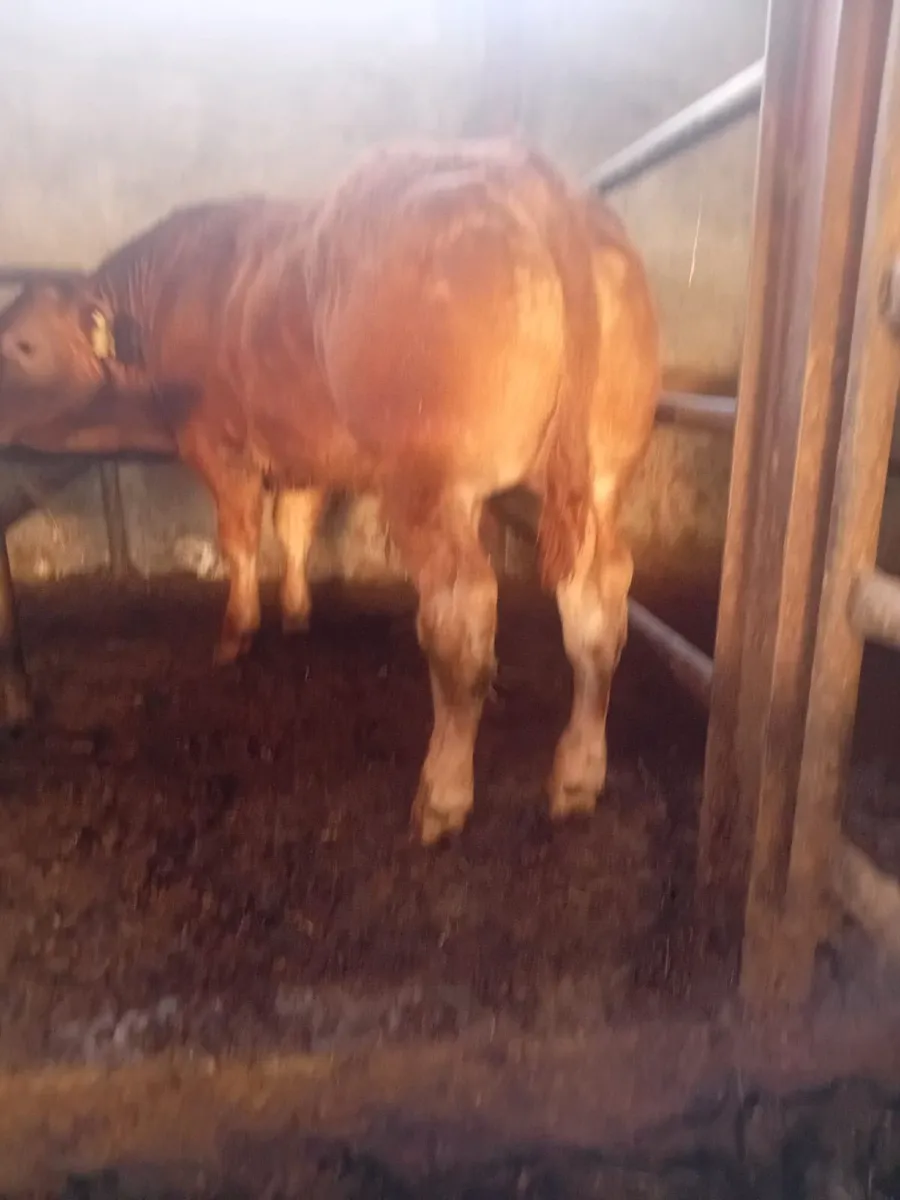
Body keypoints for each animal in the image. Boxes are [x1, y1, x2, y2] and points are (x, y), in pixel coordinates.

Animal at [0, 139, 660, 844]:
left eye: (23, 344)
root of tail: (526, 171)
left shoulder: (218, 448)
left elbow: (238, 540)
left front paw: (236, 635)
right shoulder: (305, 454)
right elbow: (295, 528)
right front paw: (296, 614)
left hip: (431, 483)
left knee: (462, 617)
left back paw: (441, 797)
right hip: (601, 474)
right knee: (598, 605)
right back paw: (576, 777)